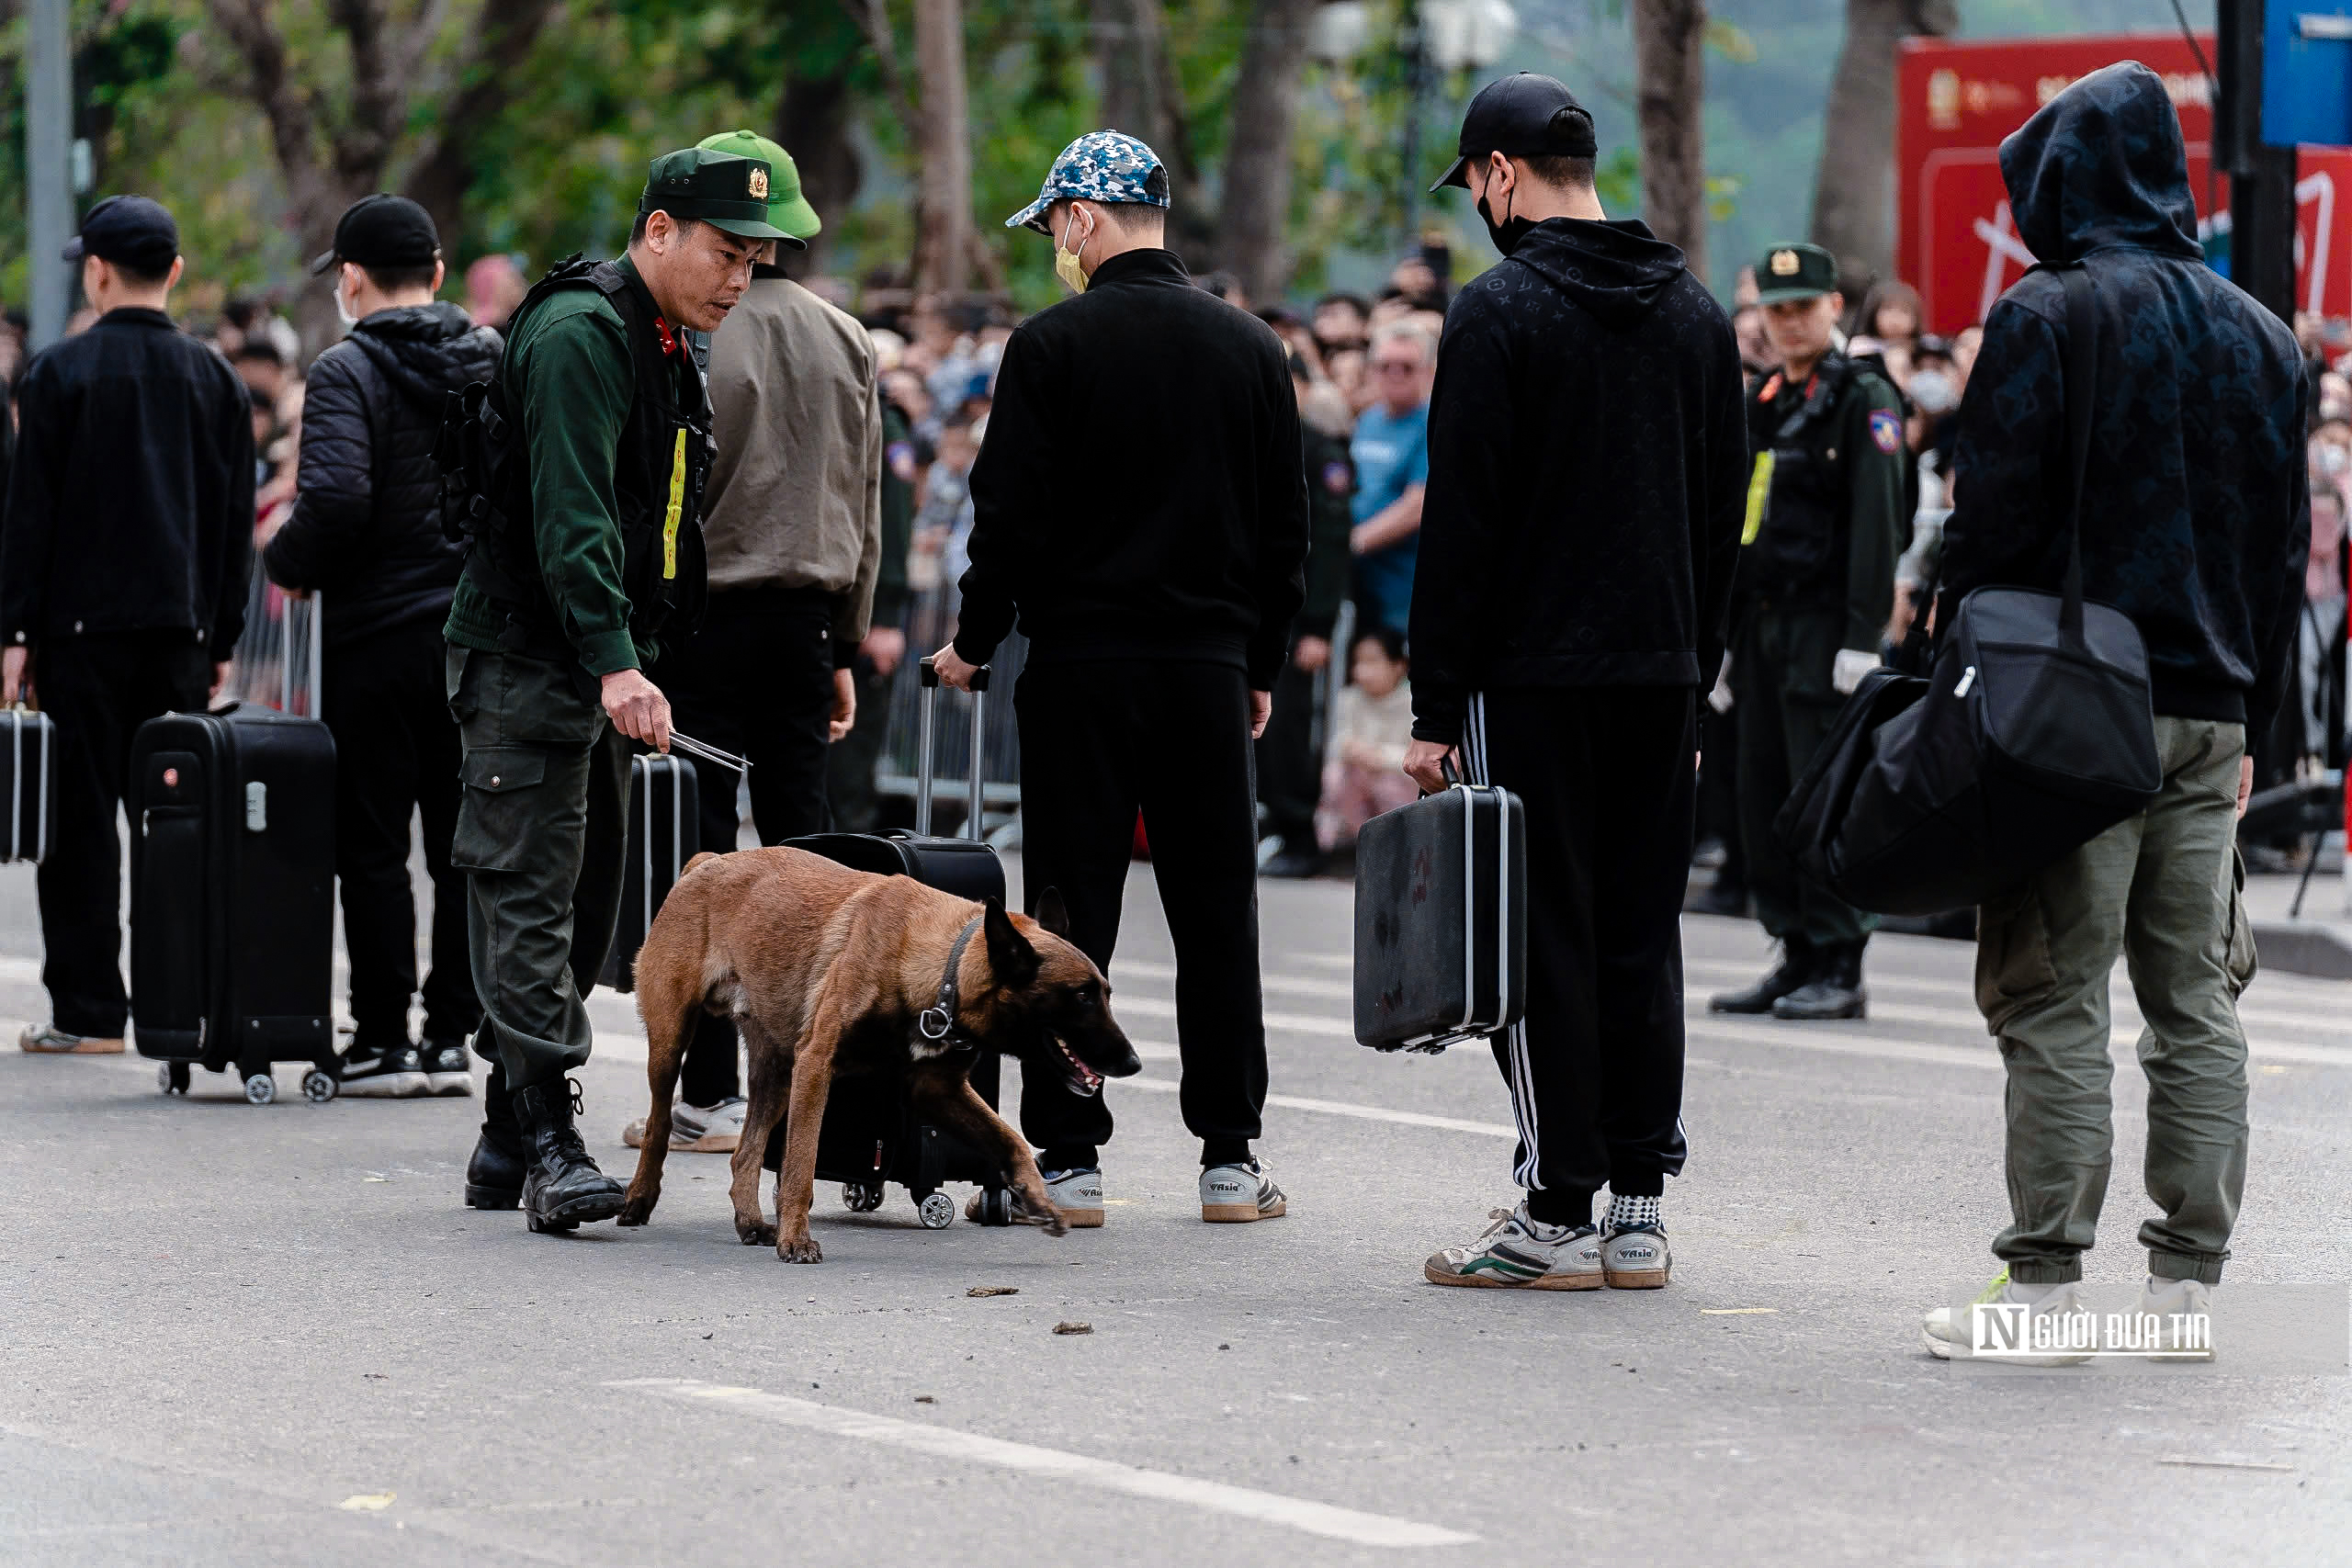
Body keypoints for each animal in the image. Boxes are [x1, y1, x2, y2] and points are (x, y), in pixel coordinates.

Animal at [616, 846, 1138, 1259]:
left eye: (1106, 993)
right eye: (1083, 996)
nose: (1133, 1063)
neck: (939, 966)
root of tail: (709, 862)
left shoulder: (938, 1091)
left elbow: (1008, 1138)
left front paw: (1036, 1196)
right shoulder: (816, 1067)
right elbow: (801, 1166)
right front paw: (796, 1238)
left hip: (776, 1073)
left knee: (744, 1154)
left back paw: (751, 1222)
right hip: (673, 1046)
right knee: (660, 1125)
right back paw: (639, 1198)